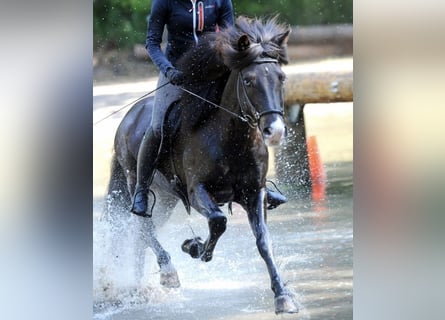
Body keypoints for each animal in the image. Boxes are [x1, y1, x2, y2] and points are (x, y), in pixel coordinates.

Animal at [105, 16, 296, 314]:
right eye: (249, 81)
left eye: (281, 78)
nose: (274, 131)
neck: (230, 139)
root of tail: (128, 118)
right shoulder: (197, 192)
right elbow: (218, 221)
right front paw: (194, 247)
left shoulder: (254, 192)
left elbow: (264, 240)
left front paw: (282, 295)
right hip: (135, 181)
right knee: (142, 223)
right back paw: (168, 271)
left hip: (166, 199)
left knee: (141, 233)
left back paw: (138, 287)